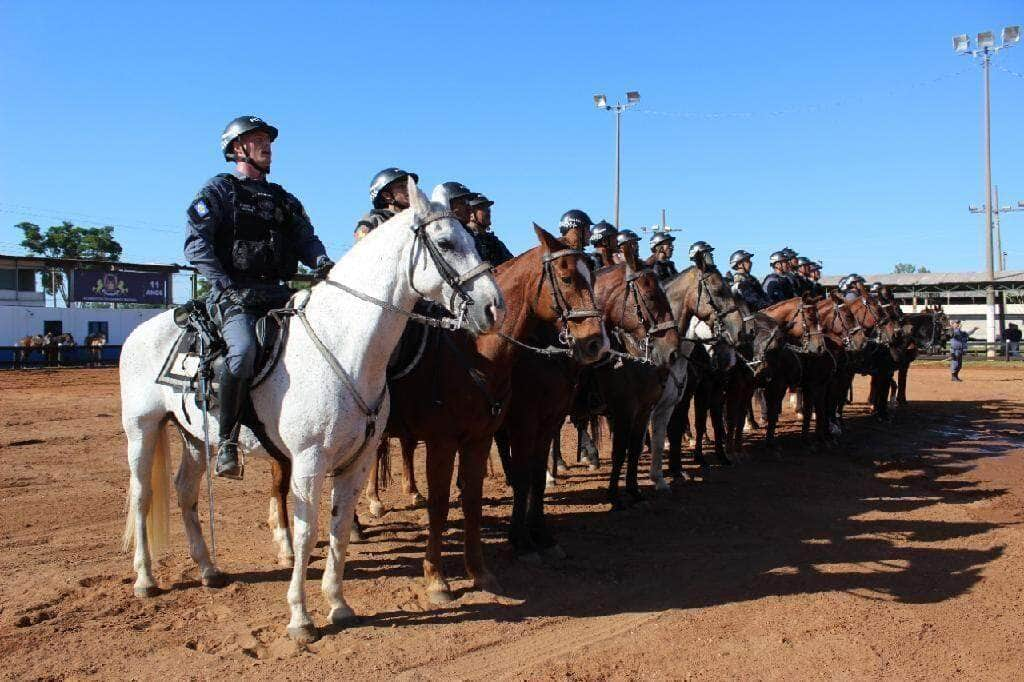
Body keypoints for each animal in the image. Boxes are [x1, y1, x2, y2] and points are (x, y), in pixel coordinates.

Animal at [119, 176, 503, 643]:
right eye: (446, 242)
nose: (493, 307)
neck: (344, 345)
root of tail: (141, 331)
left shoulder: (357, 461)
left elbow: (338, 528)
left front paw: (338, 604)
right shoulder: (308, 460)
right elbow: (306, 534)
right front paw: (300, 618)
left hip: (194, 436)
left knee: (185, 493)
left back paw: (209, 570)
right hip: (142, 429)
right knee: (142, 496)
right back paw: (145, 579)